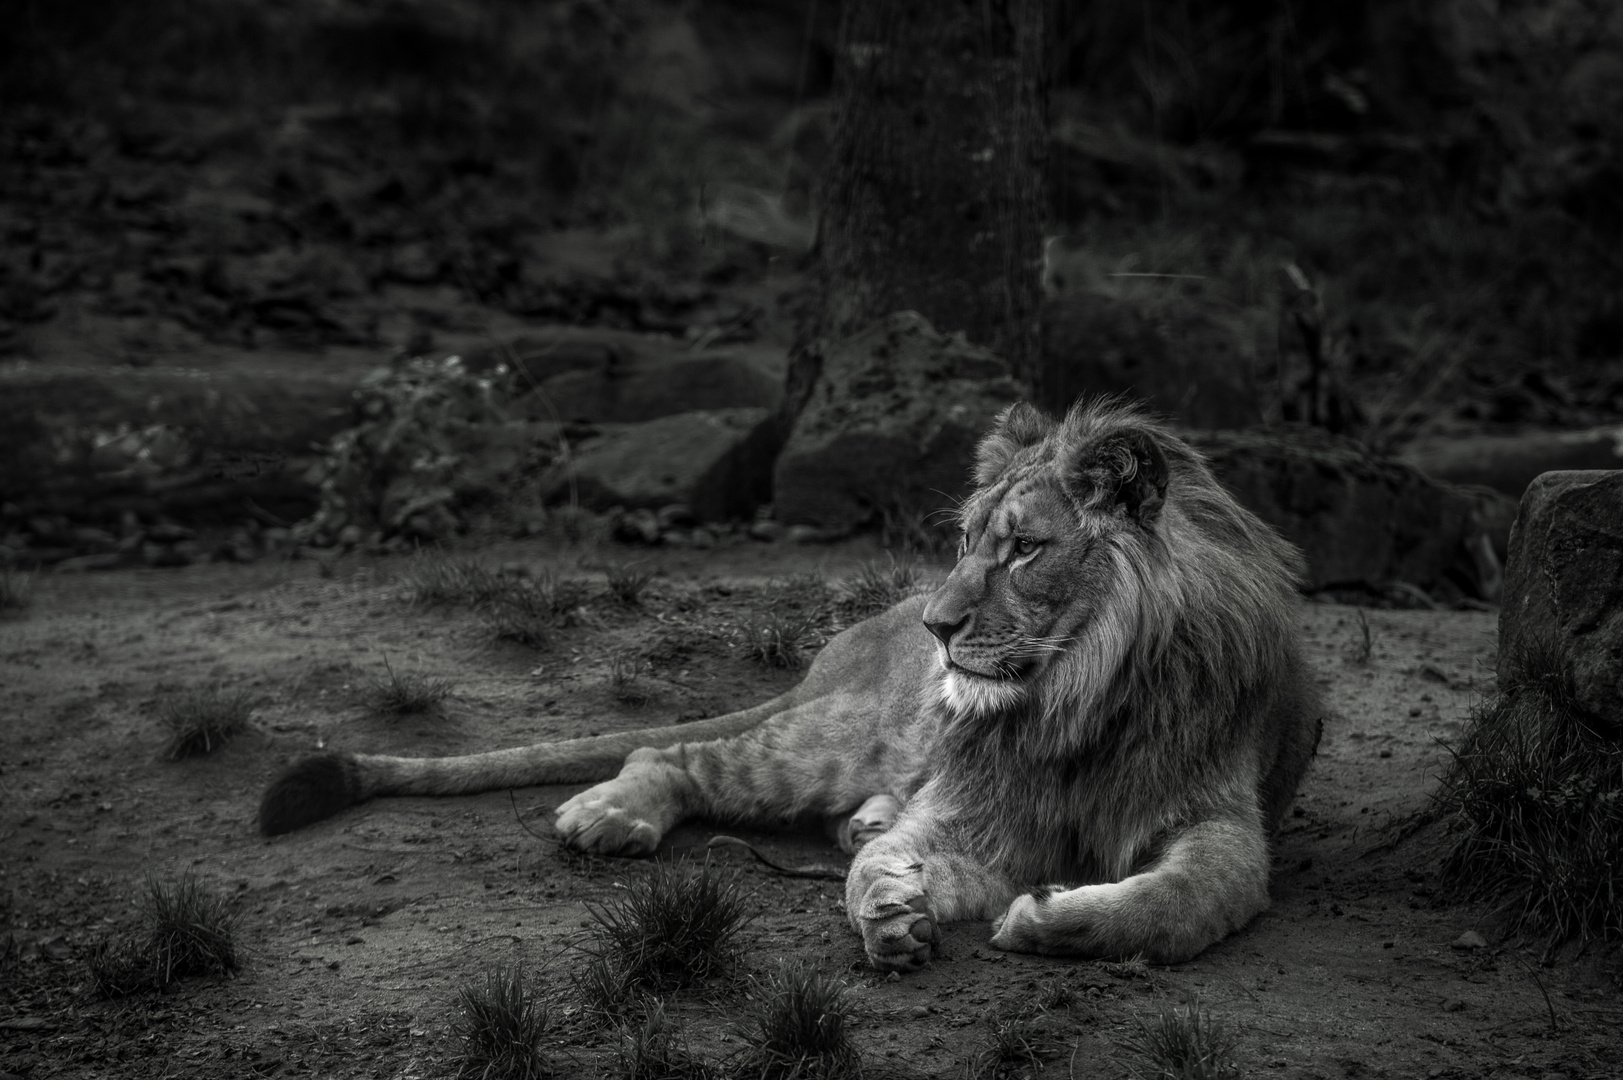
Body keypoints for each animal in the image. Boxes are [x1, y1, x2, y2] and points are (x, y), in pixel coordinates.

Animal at [259, 397, 1324, 967]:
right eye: (965, 540)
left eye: (1024, 549)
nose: (940, 628)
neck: (1075, 699)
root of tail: (859, 634)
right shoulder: (978, 807)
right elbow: (885, 861)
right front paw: (885, 905)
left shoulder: (1215, 815)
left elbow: (1185, 900)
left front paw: (1044, 919)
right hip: (826, 741)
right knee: (677, 752)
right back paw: (613, 815)